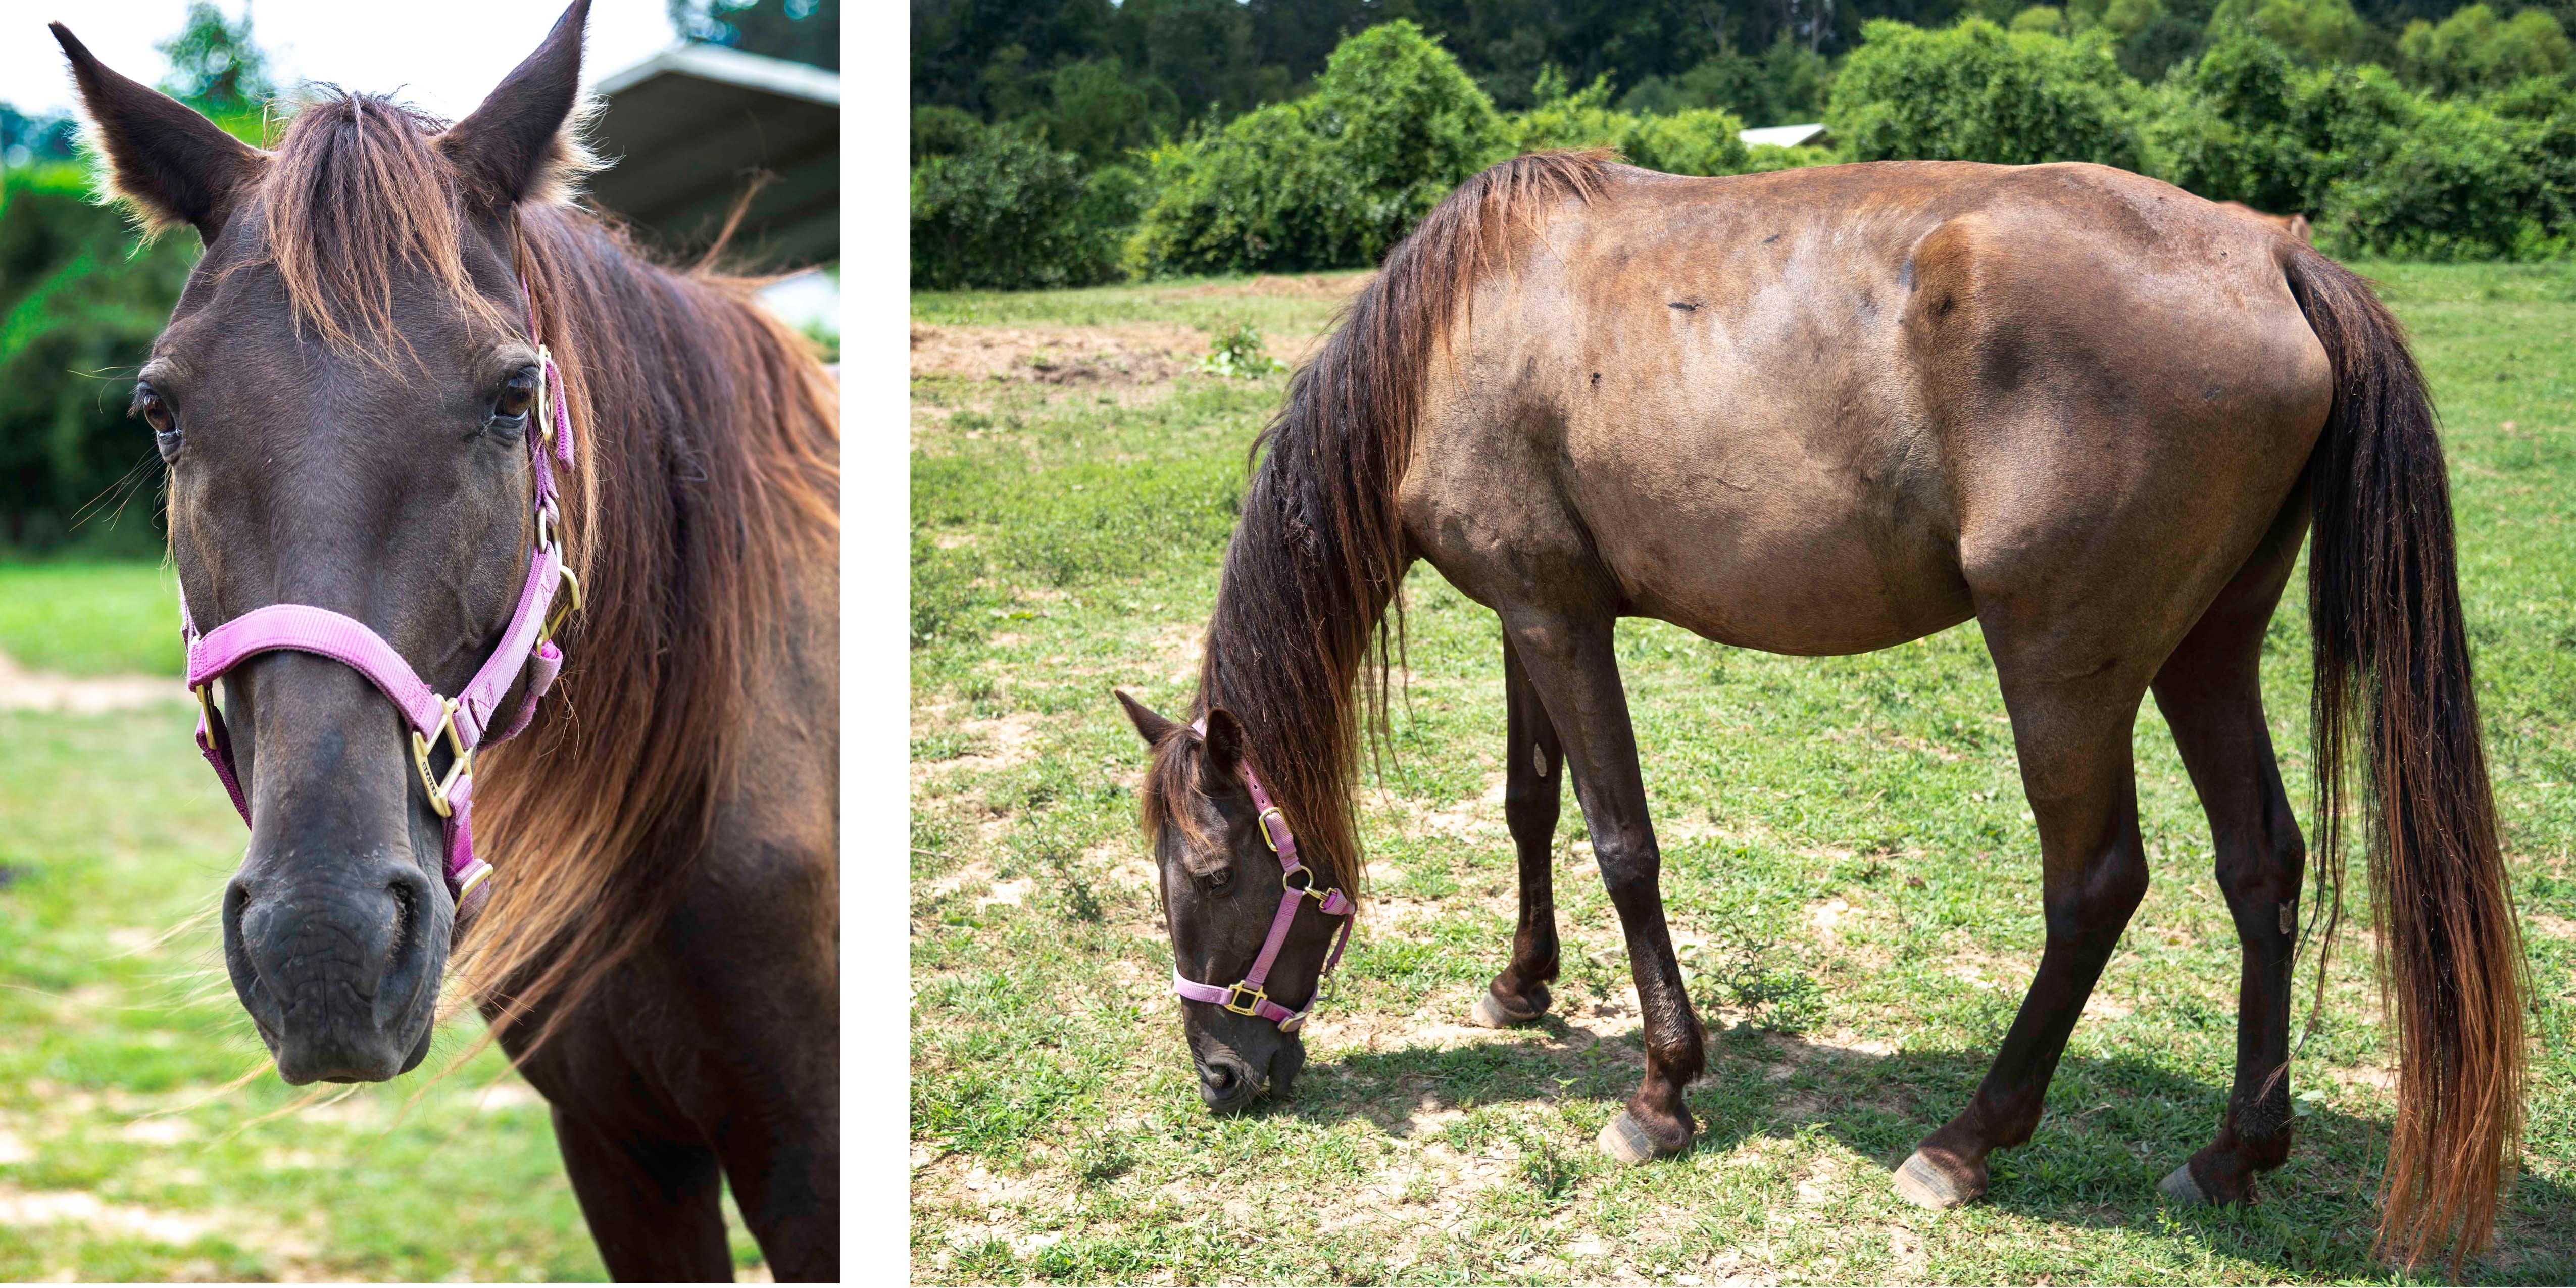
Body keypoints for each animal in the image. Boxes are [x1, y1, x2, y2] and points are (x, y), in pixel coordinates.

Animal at [1114, 151, 2526, 1271]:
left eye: (1211, 870)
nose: (1219, 1077)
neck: (1459, 331)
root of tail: (2270, 255)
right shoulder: (1531, 612)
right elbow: (1528, 804)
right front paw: (1522, 985)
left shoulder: (1561, 626)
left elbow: (1622, 843)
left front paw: (1660, 1093)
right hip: (2208, 650)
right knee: (2261, 868)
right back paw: (2234, 1155)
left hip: (2062, 668)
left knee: (2096, 885)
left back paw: (1966, 1142)